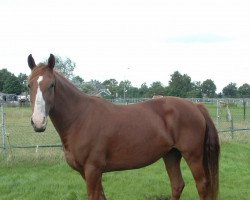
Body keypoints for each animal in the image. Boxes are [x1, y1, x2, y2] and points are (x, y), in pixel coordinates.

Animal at [26, 53, 219, 200]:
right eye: (29, 84)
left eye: (52, 85)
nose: (38, 121)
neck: (80, 118)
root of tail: (195, 106)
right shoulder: (87, 172)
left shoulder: (93, 170)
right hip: (171, 154)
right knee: (177, 185)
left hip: (193, 156)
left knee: (202, 186)